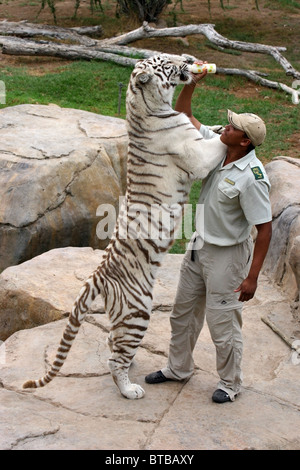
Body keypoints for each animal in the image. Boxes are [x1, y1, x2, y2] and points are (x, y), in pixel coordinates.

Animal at [23, 56, 225, 400]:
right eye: (168, 63)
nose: (189, 60)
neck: (147, 106)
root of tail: (98, 275)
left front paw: (224, 125)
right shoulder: (195, 154)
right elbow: (216, 147)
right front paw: (238, 131)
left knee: (112, 344)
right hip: (138, 312)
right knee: (115, 358)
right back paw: (130, 389)